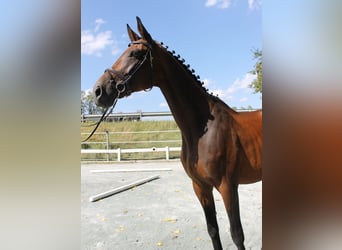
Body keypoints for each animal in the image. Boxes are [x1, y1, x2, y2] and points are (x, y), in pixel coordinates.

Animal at [91, 16, 262, 250]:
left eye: (136, 54)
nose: (98, 91)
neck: (200, 131)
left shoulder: (228, 186)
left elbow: (237, 235)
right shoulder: (200, 187)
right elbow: (213, 230)